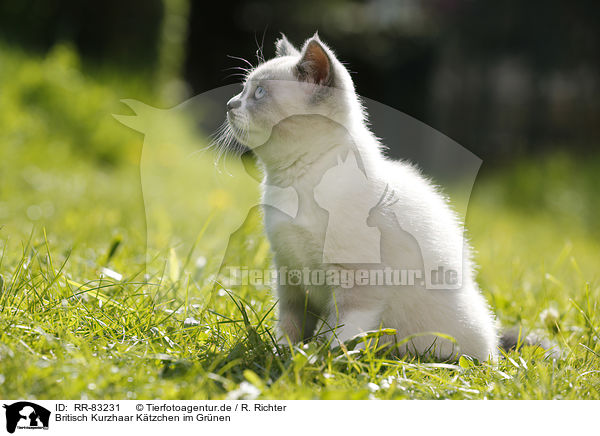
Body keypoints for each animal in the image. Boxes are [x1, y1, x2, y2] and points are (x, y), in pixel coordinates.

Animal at [223, 34, 500, 362]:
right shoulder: (289, 272)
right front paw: (283, 355)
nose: (229, 104)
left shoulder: (356, 281)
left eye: (260, 92)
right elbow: (290, 324)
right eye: (244, 89)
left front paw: (325, 363)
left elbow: (343, 333)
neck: (293, 182)